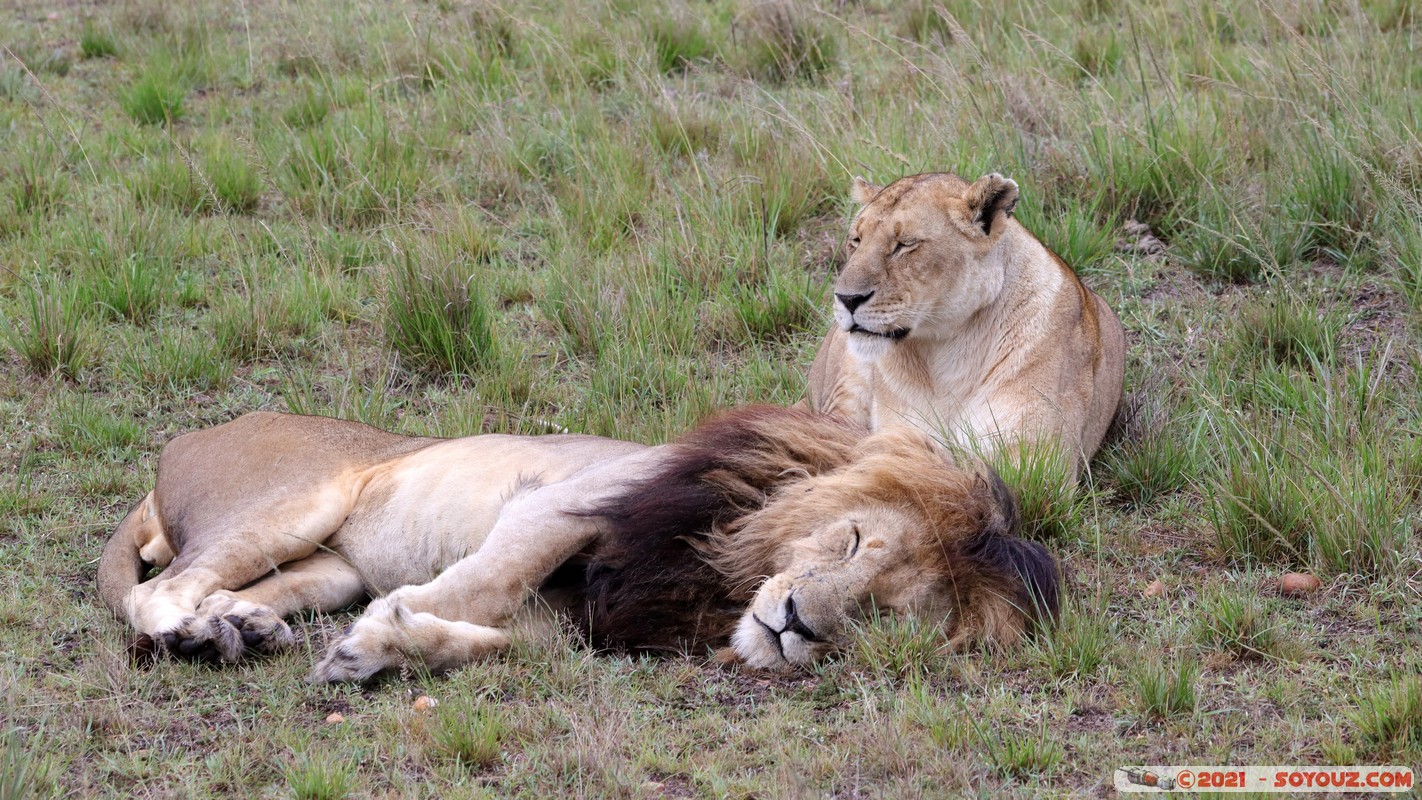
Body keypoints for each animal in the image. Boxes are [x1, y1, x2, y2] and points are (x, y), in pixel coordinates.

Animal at [100, 403, 1057, 679]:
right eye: (852, 542)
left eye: (882, 615)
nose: (797, 624)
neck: (722, 576)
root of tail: (186, 442)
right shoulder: (567, 501)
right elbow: (485, 583)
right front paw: (380, 633)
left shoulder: (583, 618)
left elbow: (499, 642)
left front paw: (386, 648)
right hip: (296, 502)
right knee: (156, 592)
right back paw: (191, 637)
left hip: (323, 567)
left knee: (234, 587)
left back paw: (241, 629)